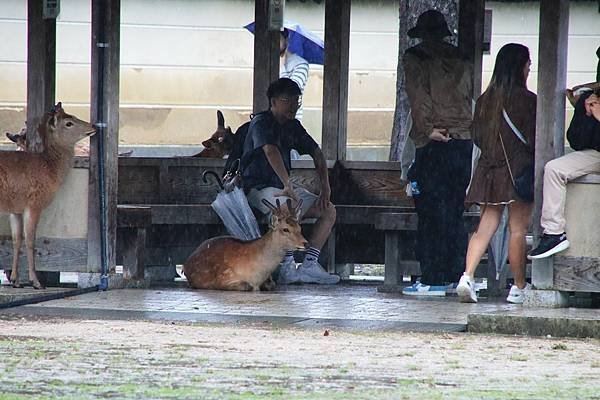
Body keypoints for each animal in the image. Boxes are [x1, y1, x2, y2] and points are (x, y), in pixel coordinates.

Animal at [0, 103, 95, 290]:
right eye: (68, 123)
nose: (93, 126)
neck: (50, 168)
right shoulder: (34, 203)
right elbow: (30, 241)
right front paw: (36, 282)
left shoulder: (15, 209)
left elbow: (16, 240)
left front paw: (16, 280)